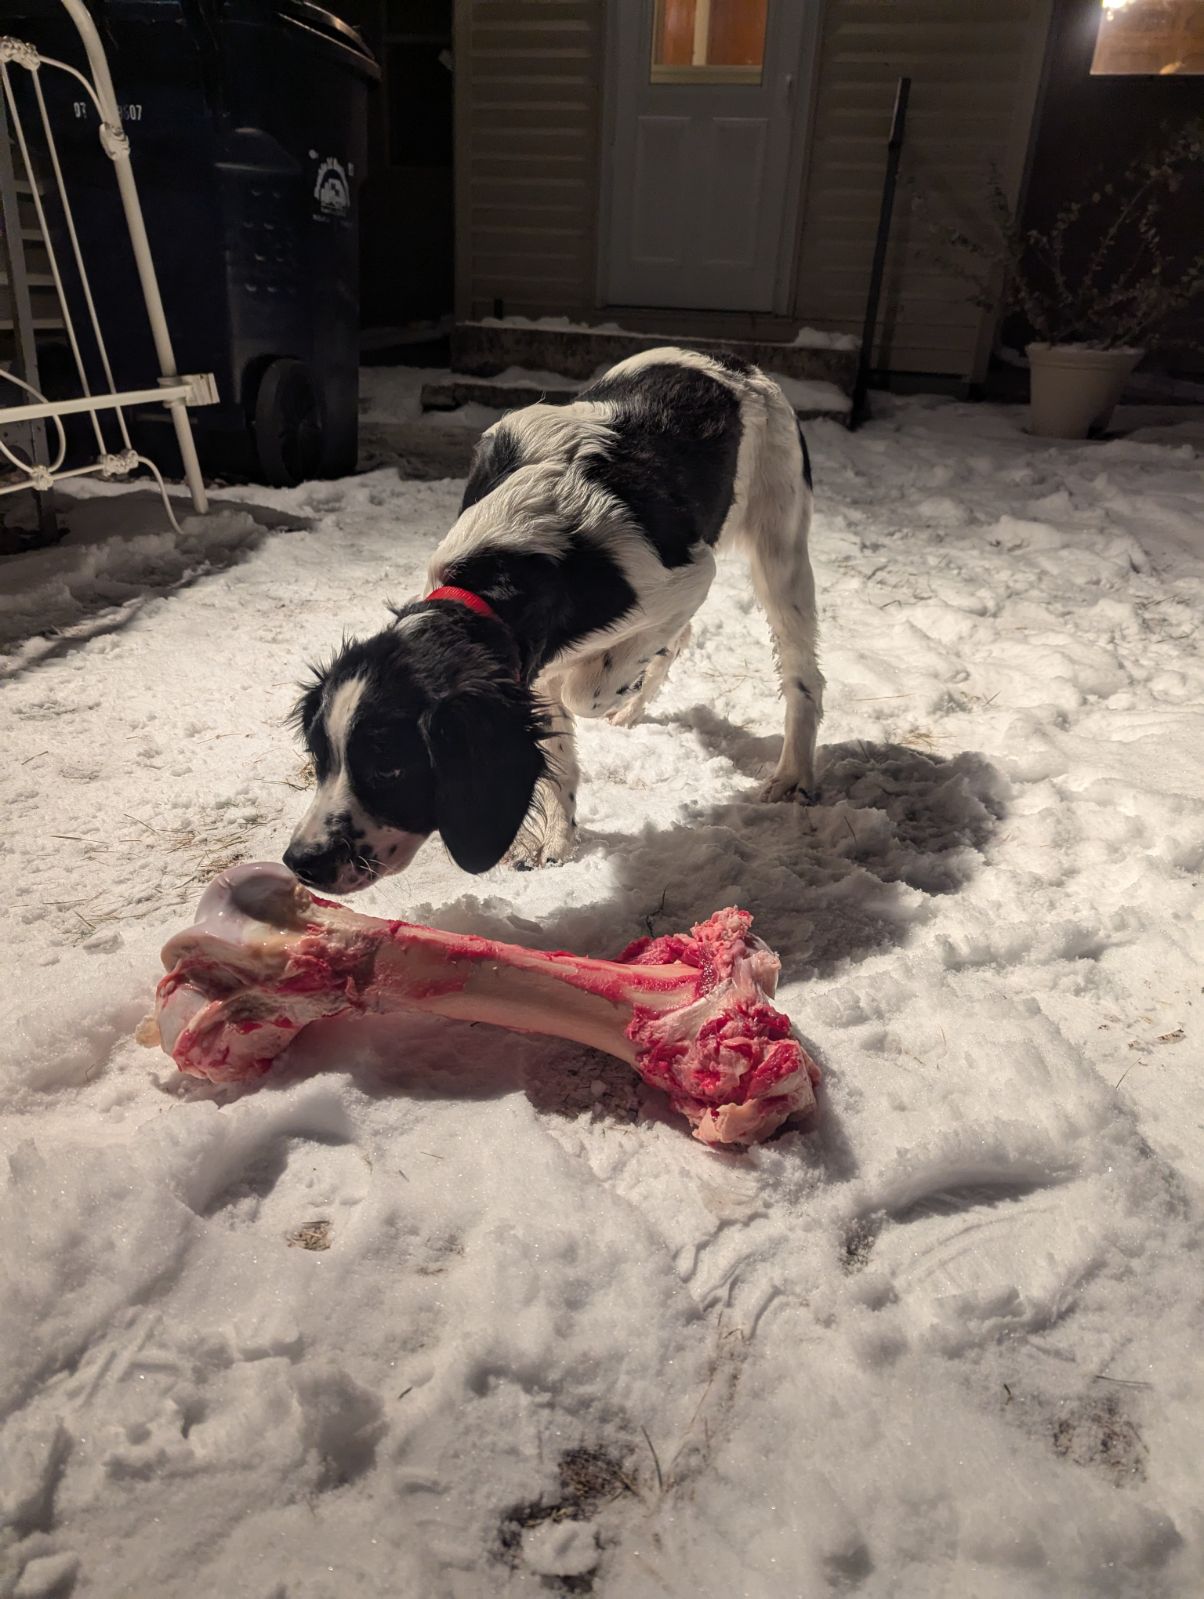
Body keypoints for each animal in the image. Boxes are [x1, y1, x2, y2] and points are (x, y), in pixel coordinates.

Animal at [284, 347, 823, 894]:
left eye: (390, 767)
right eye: (320, 758)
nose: (302, 862)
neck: (506, 565)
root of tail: (729, 361)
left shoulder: (686, 576)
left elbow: (584, 692)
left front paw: (614, 690)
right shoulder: (533, 664)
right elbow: (559, 744)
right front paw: (557, 842)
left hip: (780, 547)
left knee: (801, 676)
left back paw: (792, 774)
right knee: (680, 637)